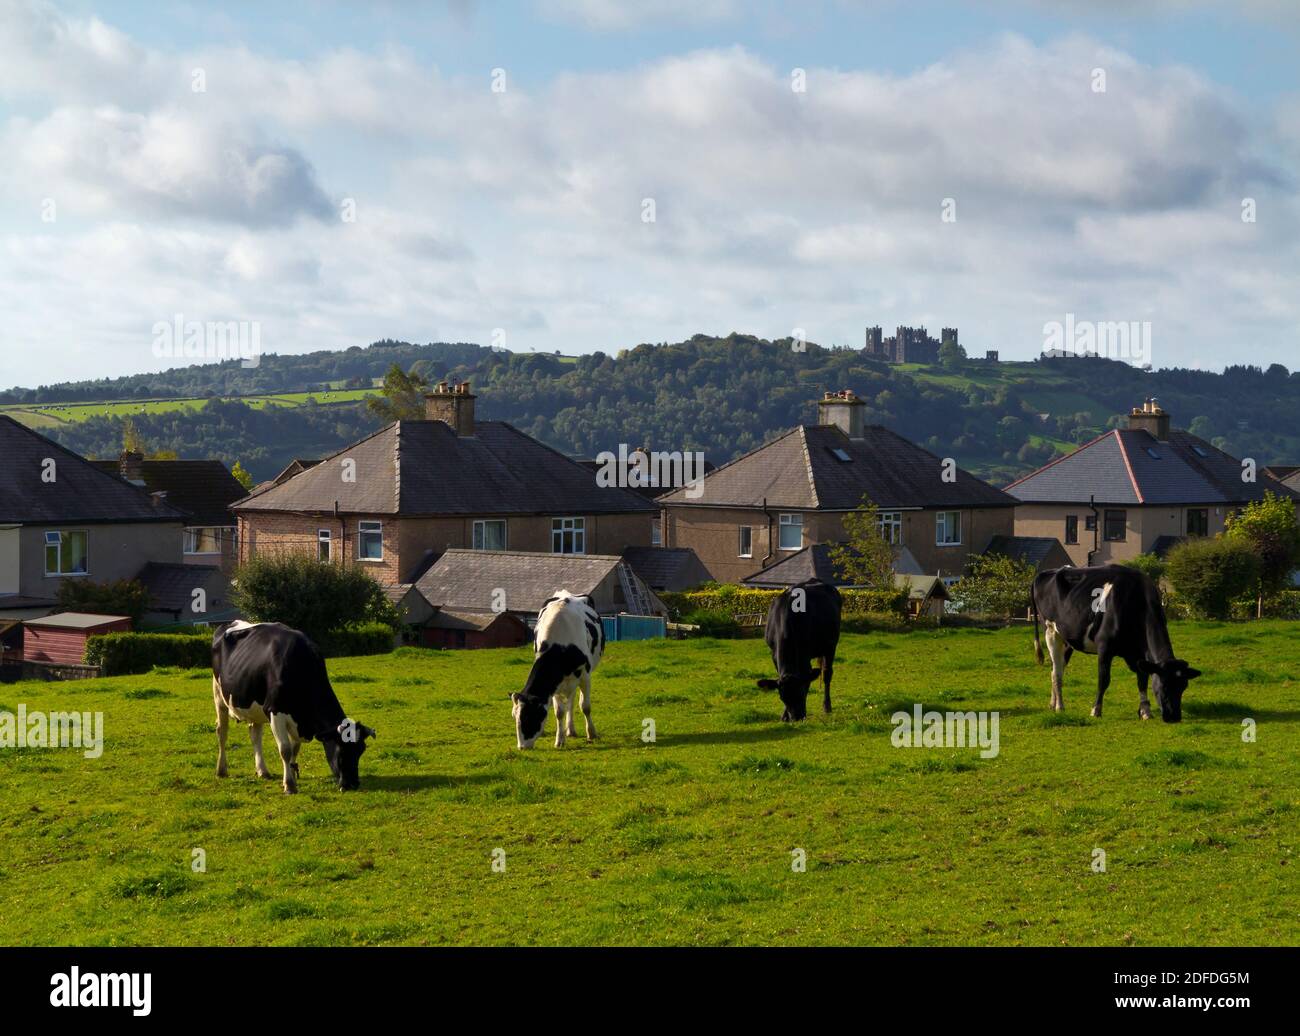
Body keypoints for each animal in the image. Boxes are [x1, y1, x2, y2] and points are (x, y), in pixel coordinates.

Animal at [211, 618, 377, 795]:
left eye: (361, 750)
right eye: (342, 751)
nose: (353, 784)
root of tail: (228, 624)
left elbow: (294, 749)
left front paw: (292, 776)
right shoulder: (275, 712)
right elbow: (285, 750)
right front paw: (289, 785)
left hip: (254, 707)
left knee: (255, 735)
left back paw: (263, 771)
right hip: (219, 695)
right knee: (222, 732)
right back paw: (221, 770)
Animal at [509, 590, 605, 753]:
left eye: (528, 716)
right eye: (514, 717)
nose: (522, 747)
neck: (561, 645)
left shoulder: (585, 676)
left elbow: (585, 707)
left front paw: (591, 733)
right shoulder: (554, 685)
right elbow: (559, 712)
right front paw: (560, 740)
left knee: (574, 701)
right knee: (570, 702)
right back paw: (570, 730)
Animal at [754, 577, 842, 722]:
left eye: (803, 692)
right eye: (782, 697)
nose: (797, 717)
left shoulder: (805, 656)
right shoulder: (773, 653)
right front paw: (784, 716)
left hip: (831, 645)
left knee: (827, 673)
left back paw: (827, 706)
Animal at [1029, 561, 1201, 722]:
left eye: (1184, 686)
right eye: (1164, 685)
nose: (1174, 717)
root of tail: (1046, 572)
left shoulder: (1139, 653)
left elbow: (1142, 680)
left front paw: (1145, 711)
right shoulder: (1105, 647)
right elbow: (1103, 680)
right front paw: (1096, 710)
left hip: (1067, 639)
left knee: (1055, 670)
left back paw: (1052, 704)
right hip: (1051, 631)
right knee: (1057, 672)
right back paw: (1060, 706)